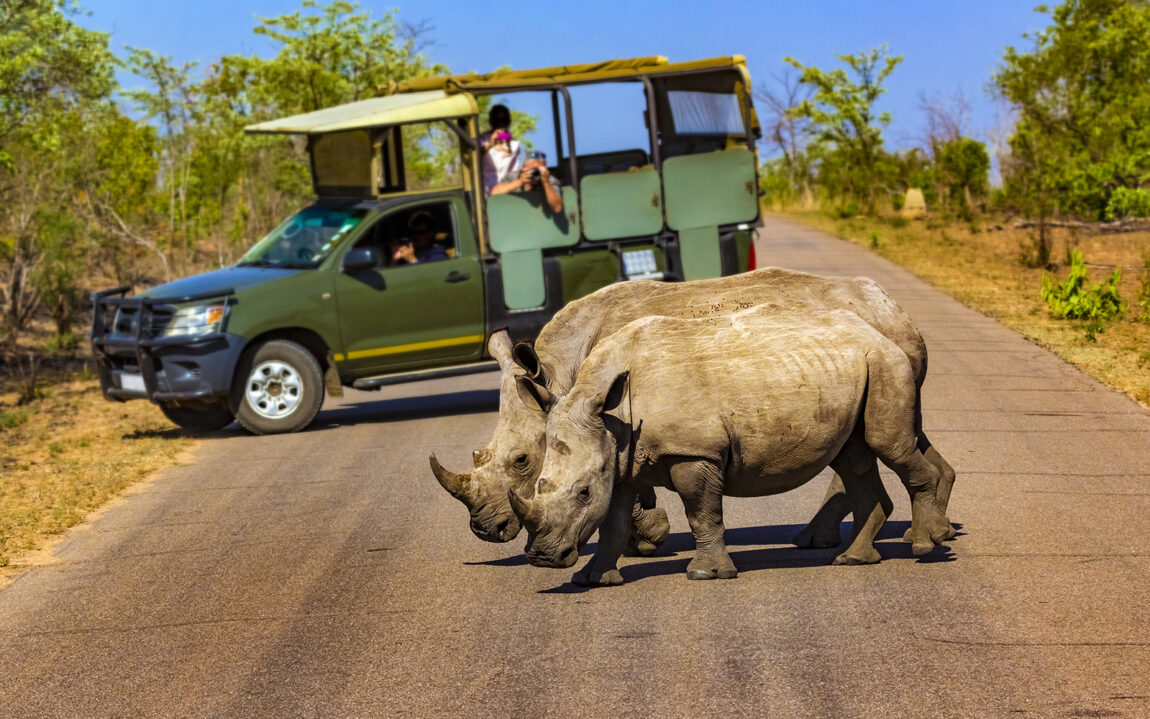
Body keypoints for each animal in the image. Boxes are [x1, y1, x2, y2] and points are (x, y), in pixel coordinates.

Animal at [512, 303, 952, 584]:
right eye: (540, 485)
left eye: (583, 493)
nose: (542, 558)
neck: (612, 415)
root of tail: (877, 330)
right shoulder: (621, 460)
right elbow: (614, 524)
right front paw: (593, 580)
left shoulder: (693, 451)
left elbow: (701, 513)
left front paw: (705, 573)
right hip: (856, 367)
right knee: (853, 457)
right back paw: (852, 560)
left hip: (885, 362)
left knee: (886, 443)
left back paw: (923, 547)